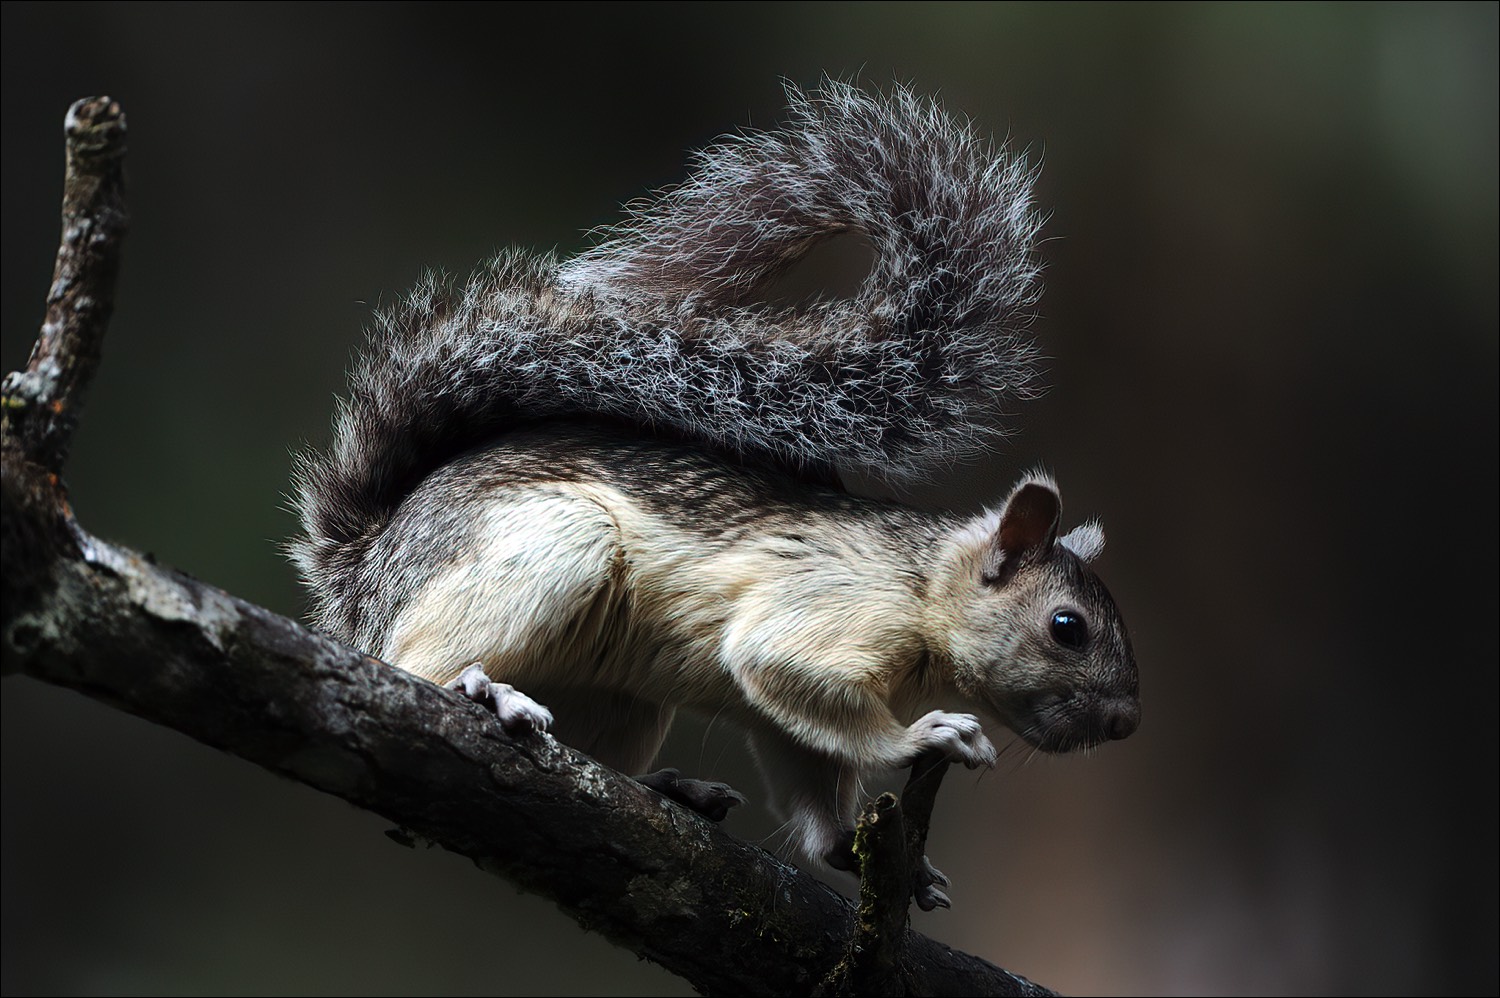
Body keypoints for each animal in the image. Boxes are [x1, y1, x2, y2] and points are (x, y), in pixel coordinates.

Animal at [289, 79, 1134, 900]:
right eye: (1067, 627)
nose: (1125, 722)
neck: (921, 585)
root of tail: (364, 574)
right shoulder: (825, 608)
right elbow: (786, 673)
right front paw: (922, 736)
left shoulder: (791, 724)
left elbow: (809, 771)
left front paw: (875, 856)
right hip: (551, 546)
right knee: (414, 662)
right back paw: (481, 690)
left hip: (623, 702)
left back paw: (666, 786)